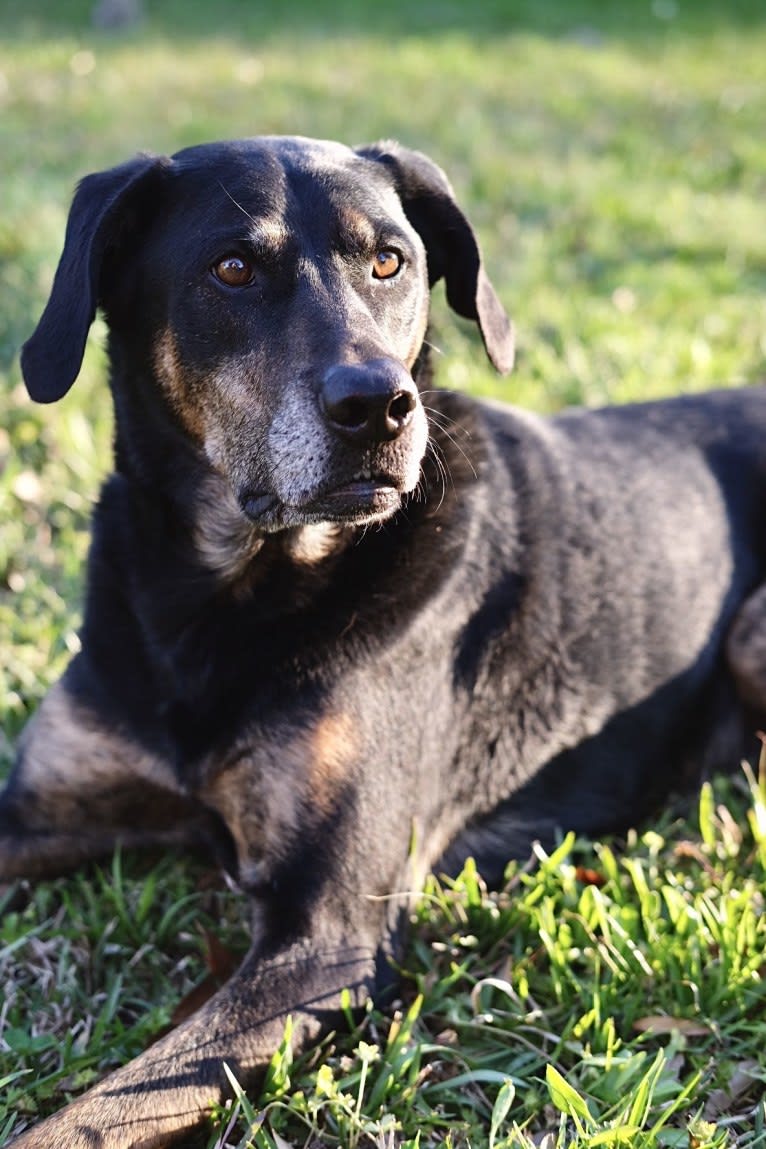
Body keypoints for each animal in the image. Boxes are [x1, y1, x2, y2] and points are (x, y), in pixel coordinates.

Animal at [4, 132, 766, 1139]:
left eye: (390, 262)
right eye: (232, 269)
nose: (377, 405)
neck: (218, 599)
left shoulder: (327, 938)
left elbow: (91, 1115)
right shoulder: (46, 806)